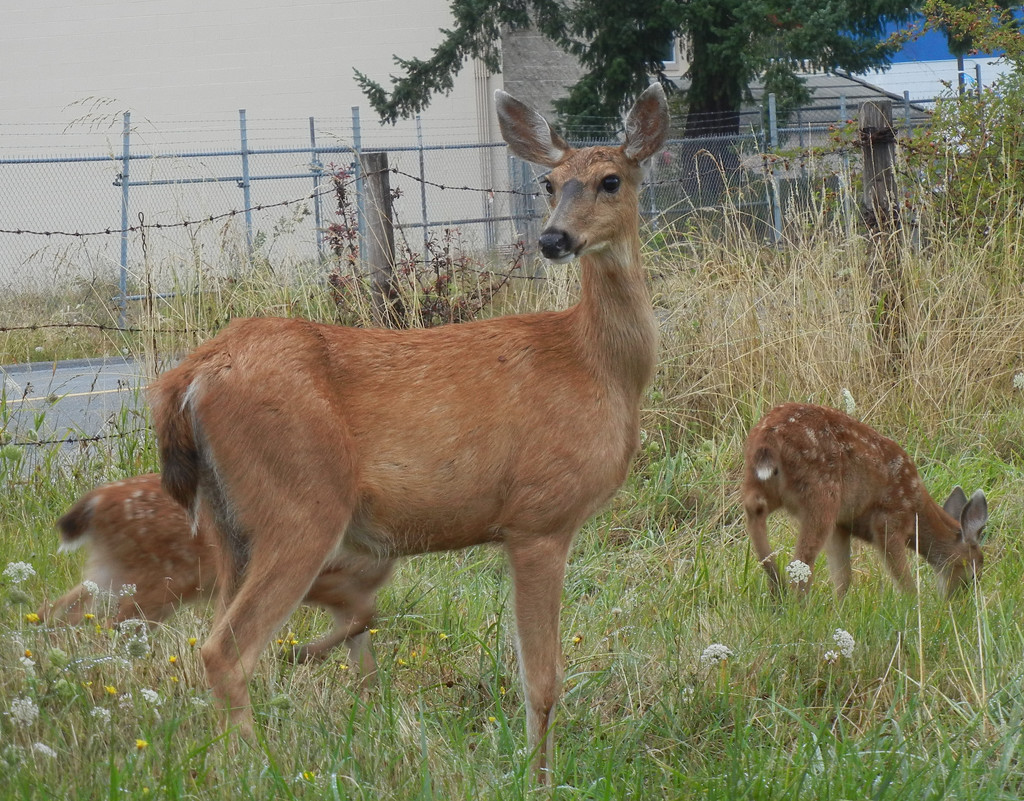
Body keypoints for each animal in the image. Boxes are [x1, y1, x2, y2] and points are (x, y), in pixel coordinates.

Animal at [38, 473, 391, 676]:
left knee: (58, 613)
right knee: (108, 629)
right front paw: (296, 654)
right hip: (157, 583)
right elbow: (367, 617)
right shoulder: (323, 579)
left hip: (112, 572)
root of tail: (95, 501)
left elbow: (364, 651)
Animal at [146, 84, 671, 782]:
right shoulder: (539, 517)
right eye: (551, 182)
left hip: (227, 522)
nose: (553, 238)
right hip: (300, 503)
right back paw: (263, 769)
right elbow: (542, 678)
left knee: (216, 638)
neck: (599, 364)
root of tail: (189, 379)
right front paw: (540, 778)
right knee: (224, 650)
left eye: (610, 180)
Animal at [741, 405, 987, 598]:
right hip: (822, 493)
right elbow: (902, 578)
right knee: (802, 558)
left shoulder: (842, 525)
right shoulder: (889, 520)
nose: (957, 602)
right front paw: (913, 604)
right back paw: (795, 600)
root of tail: (767, 437)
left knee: (755, 509)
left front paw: (839, 608)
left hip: (762, 482)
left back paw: (775, 579)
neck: (916, 510)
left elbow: (843, 577)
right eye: (973, 575)